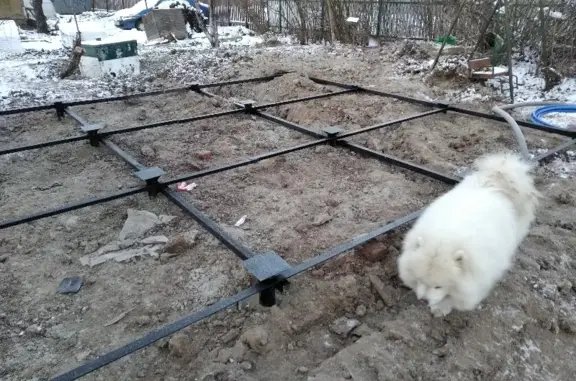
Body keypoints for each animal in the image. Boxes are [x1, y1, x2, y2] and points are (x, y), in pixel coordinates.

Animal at [396, 151, 540, 314]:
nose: (423, 299)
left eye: (438, 286)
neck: (445, 239)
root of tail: (495, 181)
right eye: (420, 280)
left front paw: (441, 308)